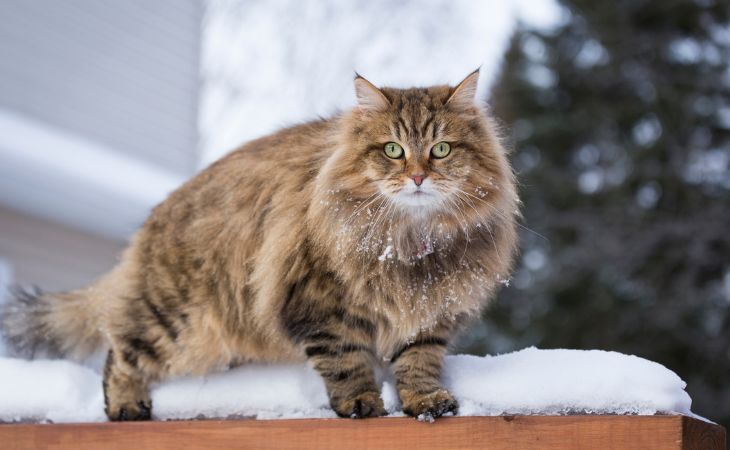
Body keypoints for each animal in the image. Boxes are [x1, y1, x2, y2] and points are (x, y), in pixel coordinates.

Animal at [0, 68, 516, 420]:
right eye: (393, 150)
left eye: (441, 149)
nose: (418, 177)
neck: (410, 241)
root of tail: (156, 218)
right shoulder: (318, 304)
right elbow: (345, 362)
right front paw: (361, 402)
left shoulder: (430, 312)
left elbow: (418, 362)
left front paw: (425, 401)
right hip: (175, 319)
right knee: (120, 350)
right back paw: (127, 406)